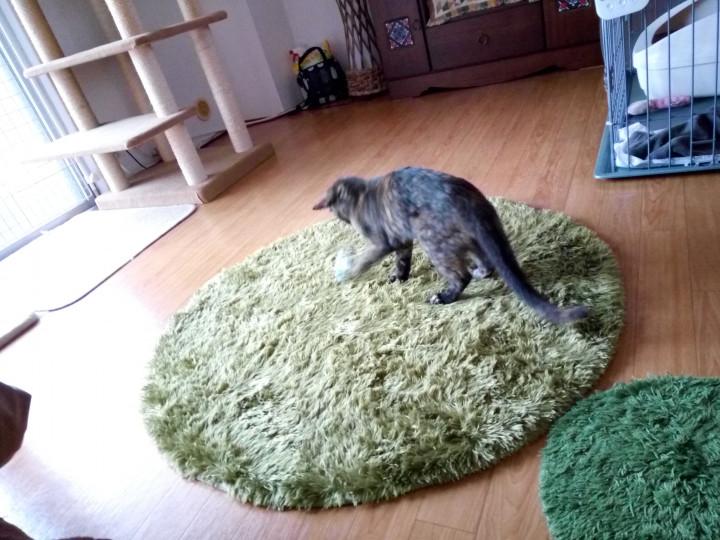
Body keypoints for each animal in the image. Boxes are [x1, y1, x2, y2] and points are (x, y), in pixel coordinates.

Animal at [312, 167, 588, 324]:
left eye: (334, 210)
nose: (339, 218)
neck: (362, 195)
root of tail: (471, 203)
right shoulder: (402, 240)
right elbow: (403, 261)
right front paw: (399, 278)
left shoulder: (384, 242)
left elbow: (364, 260)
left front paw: (347, 270)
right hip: (471, 239)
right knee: (486, 262)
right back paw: (480, 272)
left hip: (431, 239)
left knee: (460, 276)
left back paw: (444, 297)